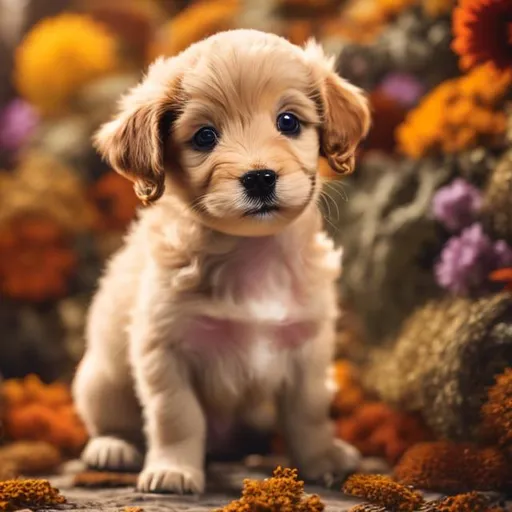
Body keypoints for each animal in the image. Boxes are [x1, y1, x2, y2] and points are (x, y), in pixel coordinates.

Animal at [72, 30, 370, 494]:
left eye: (289, 122)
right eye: (205, 137)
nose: (260, 178)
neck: (252, 253)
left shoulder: (309, 345)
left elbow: (308, 412)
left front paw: (323, 457)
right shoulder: (163, 349)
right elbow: (177, 416)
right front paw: (174, 469)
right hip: (100, 378)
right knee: (110, 419)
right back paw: (112, 448)